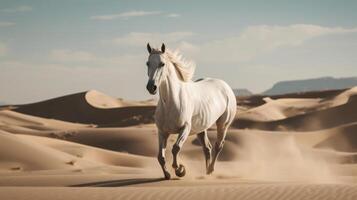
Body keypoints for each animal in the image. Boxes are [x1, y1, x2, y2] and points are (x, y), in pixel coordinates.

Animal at [145, 43, 236, 179]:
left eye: (162, 64)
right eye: (147, 63)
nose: (151, 87)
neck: (171, 103)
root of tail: (226, 86)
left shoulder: (185, 128)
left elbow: (176, 148)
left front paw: (180, 170)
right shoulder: (162, 132)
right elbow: (160, 156)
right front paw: (167, 174)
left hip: (223, 124)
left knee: (218, 145)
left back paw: (211, 170)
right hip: (201, 128)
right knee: (207, 148)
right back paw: (206, 172)